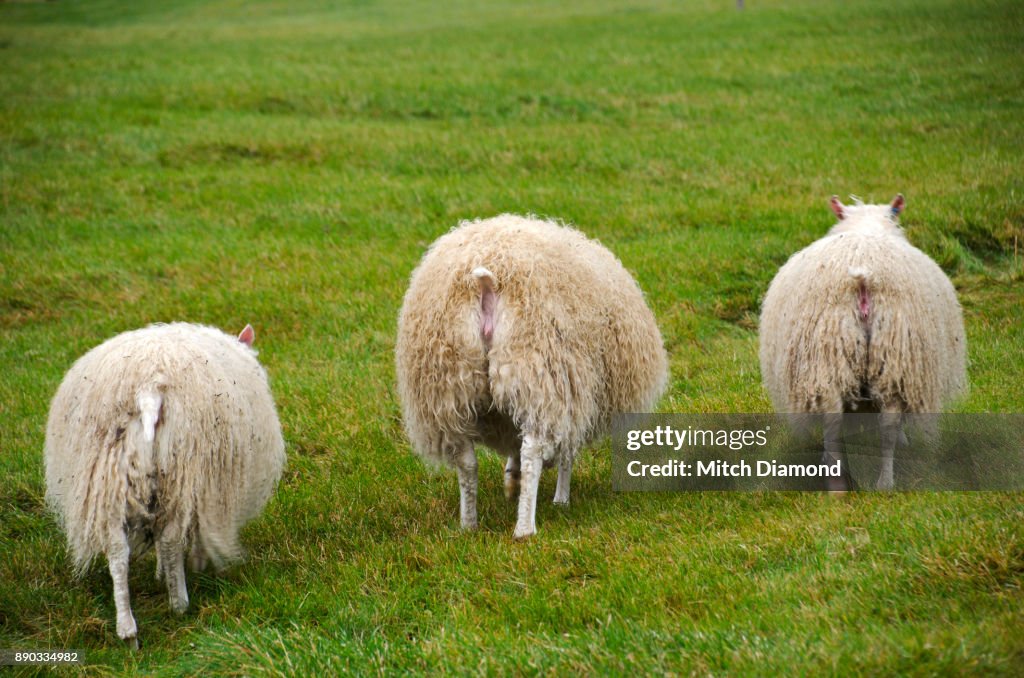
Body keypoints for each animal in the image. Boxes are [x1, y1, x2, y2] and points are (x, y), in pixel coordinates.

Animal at [44, 322, 286, 647]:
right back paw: (179, 604)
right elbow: (193, 534)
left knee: (117, 552)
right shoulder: (207, 488)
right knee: (170, 539)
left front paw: (162, 573)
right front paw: (194, 565)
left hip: (106, 477)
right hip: (180, 470)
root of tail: (148, 391)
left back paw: (127, 630)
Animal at [396, 214, 668, 539]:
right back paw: (525, 527)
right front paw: (561, 499)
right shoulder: (574, 391)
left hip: (446, 386)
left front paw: (512, 480)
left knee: (466, 460)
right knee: (532, 451)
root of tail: (486, 281)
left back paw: (469, 524)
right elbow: (567, 453)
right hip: (538, 371)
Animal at [759, 195, 967, 490]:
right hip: (891, 354)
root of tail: (864, 277)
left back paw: (842, 478)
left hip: (834, 356)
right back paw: (883, 481)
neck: (867, 226)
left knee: (838, 420)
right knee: (884, 423)